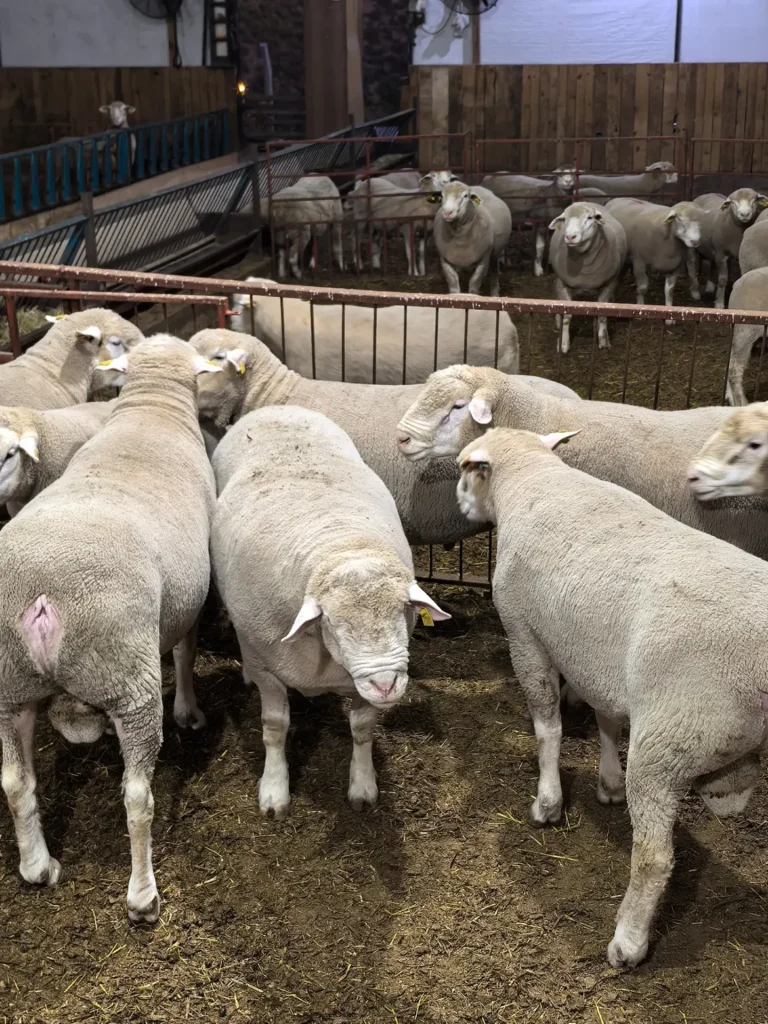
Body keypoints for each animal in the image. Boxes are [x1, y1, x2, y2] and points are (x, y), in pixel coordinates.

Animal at [0, 335, 219, 922]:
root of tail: (43, 596)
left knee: (15, 782)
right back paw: (143, 897)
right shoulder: (189, 596)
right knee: (137, 796)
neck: (149, 411)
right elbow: (185, 652)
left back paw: (39, 867)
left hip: (9, 684)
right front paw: (190, 711)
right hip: (129, 681)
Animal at [211, 405, 449, 815]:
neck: (341, 544)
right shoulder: (268, 668)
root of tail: (279, 408)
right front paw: (274, 789)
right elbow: (274, 727)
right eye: (335, 625)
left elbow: (362, 729)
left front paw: (363, 786)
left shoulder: (357, 683)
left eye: (402, 612)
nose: (386, 684)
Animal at [455, 425, 768, 967]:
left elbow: (547, 725)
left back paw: (628, 940)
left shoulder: (524, 632)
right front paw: (607, 782)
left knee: (654, 856)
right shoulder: (595, 653)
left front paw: (548, 802)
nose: (456, 502)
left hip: (669, 740)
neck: (533, 479)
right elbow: (605, 718)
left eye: (466, 470)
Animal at [548, 202, 627, 352]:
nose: (570, 237)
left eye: (590, 217)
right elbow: (566, 316)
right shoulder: (562, 284)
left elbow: (602, 314)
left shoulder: (609, 285)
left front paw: (603, 341)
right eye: (564, 218)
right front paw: (563, 344)